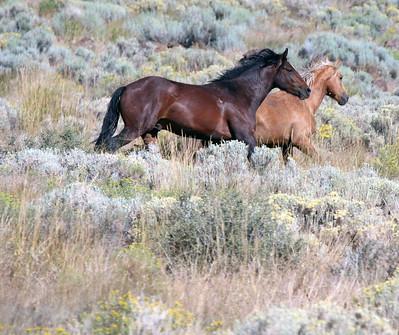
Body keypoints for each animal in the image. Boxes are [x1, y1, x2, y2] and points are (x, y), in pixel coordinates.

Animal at [95, 47, 310, 161]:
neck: (239, 95)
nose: (306, 90)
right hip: (133, 129)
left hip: (149, 133)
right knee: (108, 145)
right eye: (289, 69)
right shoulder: (246, 139)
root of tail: (127, 87)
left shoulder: (213, 140)